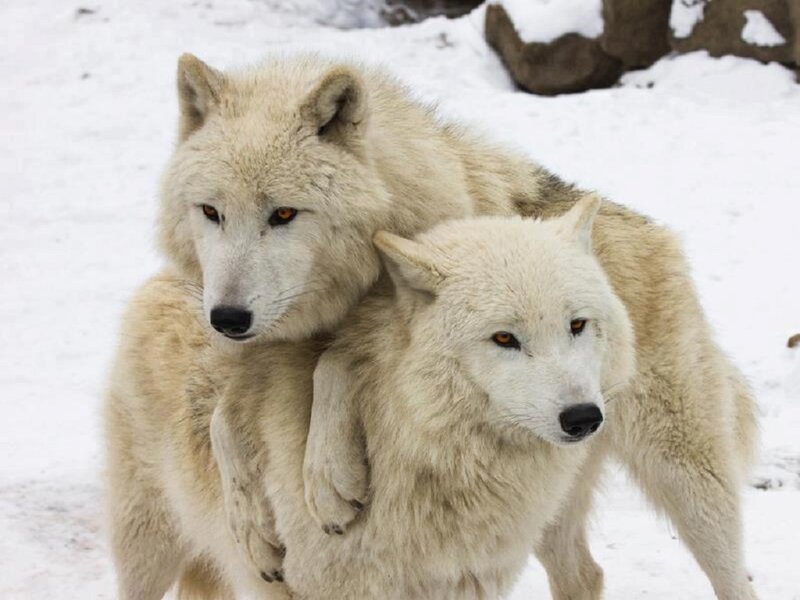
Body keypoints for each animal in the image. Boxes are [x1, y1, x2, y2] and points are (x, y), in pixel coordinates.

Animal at [104, 53, 759, 599]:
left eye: (284, 213)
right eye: (210, 212)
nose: (226, 318)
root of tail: (645, 226)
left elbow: (336, 366)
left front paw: (328, 478)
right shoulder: (265, 346)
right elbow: (225, 419)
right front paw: (250, 523)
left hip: (687, 478)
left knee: (732, 574)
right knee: (583, 573)